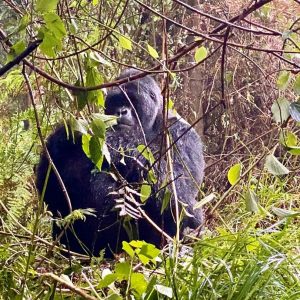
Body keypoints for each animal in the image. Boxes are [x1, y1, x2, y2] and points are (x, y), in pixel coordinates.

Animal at [35, 69, 204, 256]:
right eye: (117, 101)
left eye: (131, 100)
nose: (121, 112)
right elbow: (48, 182)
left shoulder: (182, 132)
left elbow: (178, 193)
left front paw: (115, 140)